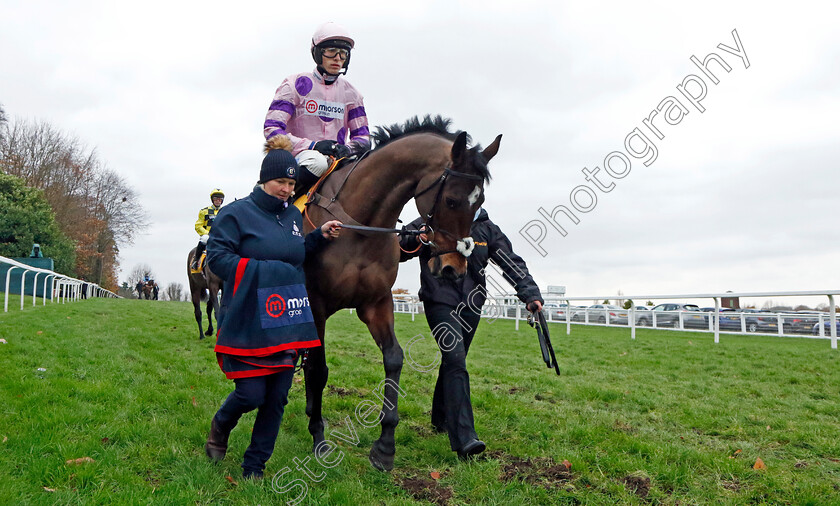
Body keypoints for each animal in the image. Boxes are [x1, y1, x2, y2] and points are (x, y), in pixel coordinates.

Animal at [302, 114, 498, 470]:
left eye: (480, 202)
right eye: (451, 200)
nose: (453, 267)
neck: (358, 225)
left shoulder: (376, 302)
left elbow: (394, 358)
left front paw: (385, 445)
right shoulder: (316, 303)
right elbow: (318, 367)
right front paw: (319, 438)